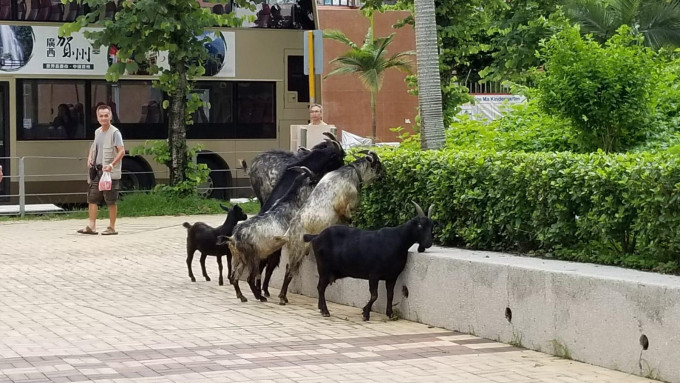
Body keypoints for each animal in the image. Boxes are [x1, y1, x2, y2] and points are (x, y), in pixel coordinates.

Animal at [274, 152, 382, 304]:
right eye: (378, 163)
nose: (385, 174)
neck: (352, 173)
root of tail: (289, 232)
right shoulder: (344, 206)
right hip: (298, 248)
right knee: (290, 268)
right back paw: (282, 297)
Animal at [304, 202, 432, 322]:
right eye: (420, 225)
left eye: (432, 225)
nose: (428, 243)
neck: (398, 240)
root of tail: (316, 236)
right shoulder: (374, 274)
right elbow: (374, 295)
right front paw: (365, 313)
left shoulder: (392, 276)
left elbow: (390, 295)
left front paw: (390, 314)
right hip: (324, 269)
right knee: (320, 288)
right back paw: (325, 311)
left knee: (320, 288)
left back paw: (321, 308)